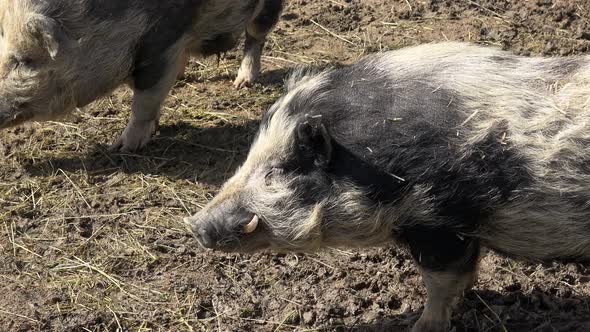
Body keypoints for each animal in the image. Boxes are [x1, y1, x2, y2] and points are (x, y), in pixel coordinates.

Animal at [0, 0, 284, 150]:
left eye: (23, 60)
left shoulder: (163, 41)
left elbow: (144, 99)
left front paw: (121, 148)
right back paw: (183, 77)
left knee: (256, 35)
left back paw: (243, 83)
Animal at [185, 42, 590, 332]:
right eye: (250, 157)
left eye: (280, 169)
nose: (195, 224)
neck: (376, 164)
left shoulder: (437, 220)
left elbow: (440, 282)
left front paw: (421, 327)